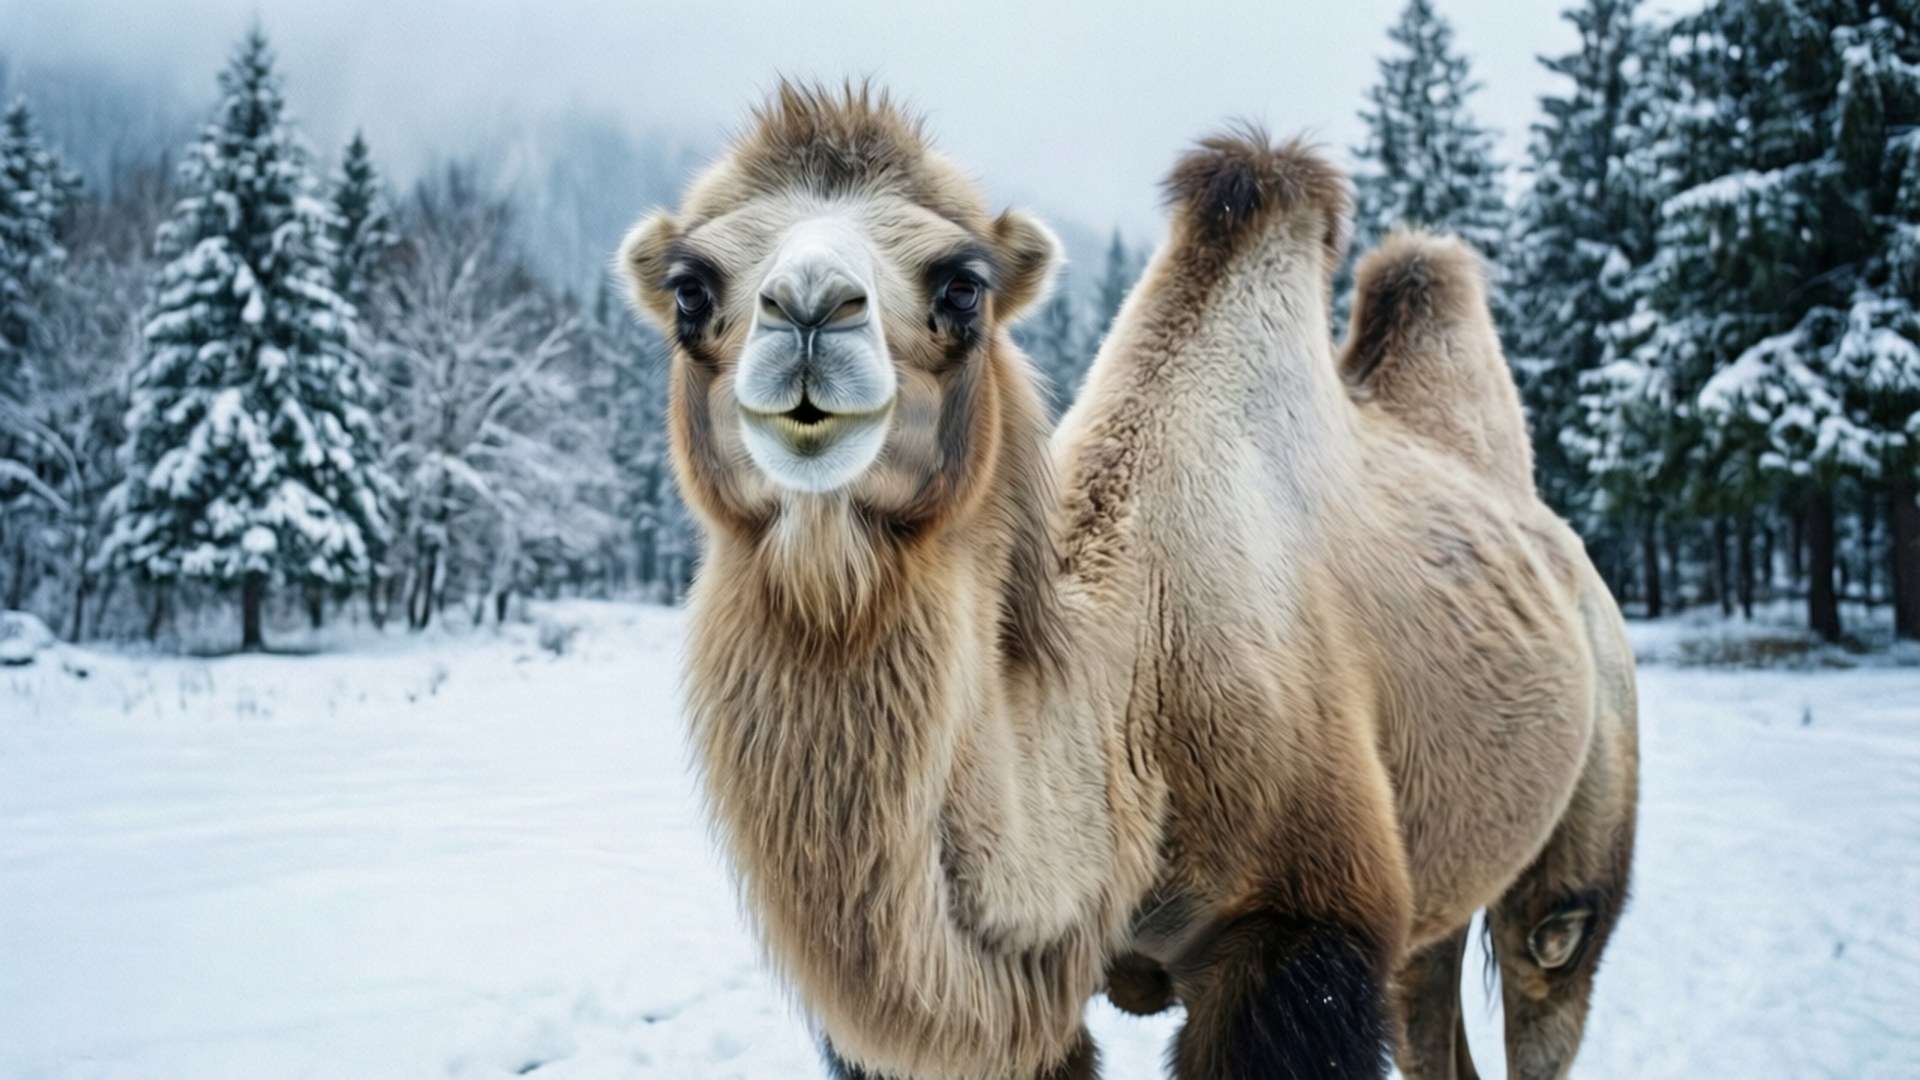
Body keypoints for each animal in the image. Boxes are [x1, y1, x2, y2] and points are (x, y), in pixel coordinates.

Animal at [617, 85, 1637, 1080]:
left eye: (962, 285)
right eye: (690, 288)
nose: (809, 311)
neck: (1136, 696)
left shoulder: (1306, 932)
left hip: (1583, 820)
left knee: (1550, 951)